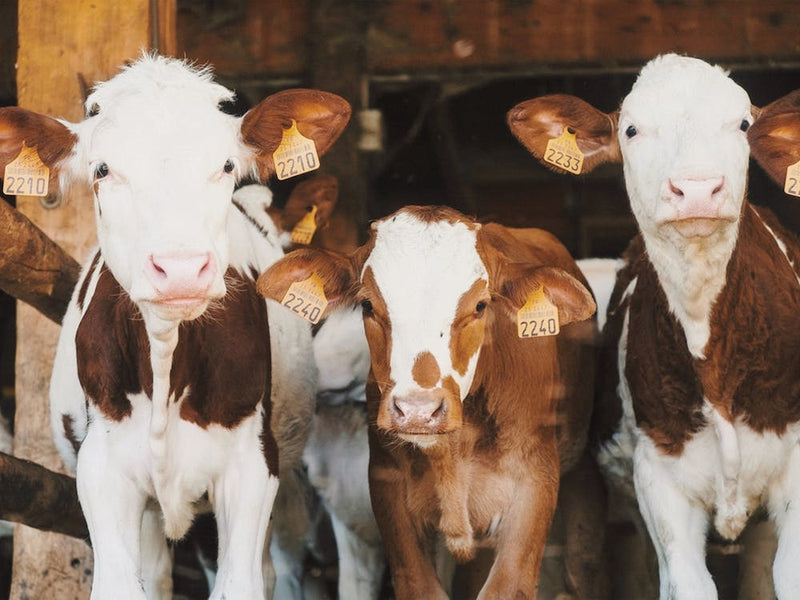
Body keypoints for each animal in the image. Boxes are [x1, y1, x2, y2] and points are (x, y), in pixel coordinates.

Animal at [0, 54, 349, 600]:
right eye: (102, 169)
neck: (166, 363)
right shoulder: (102, 468)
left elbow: (239, 583)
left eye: (226, 166)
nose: (181, 268)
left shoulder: (252, 466)